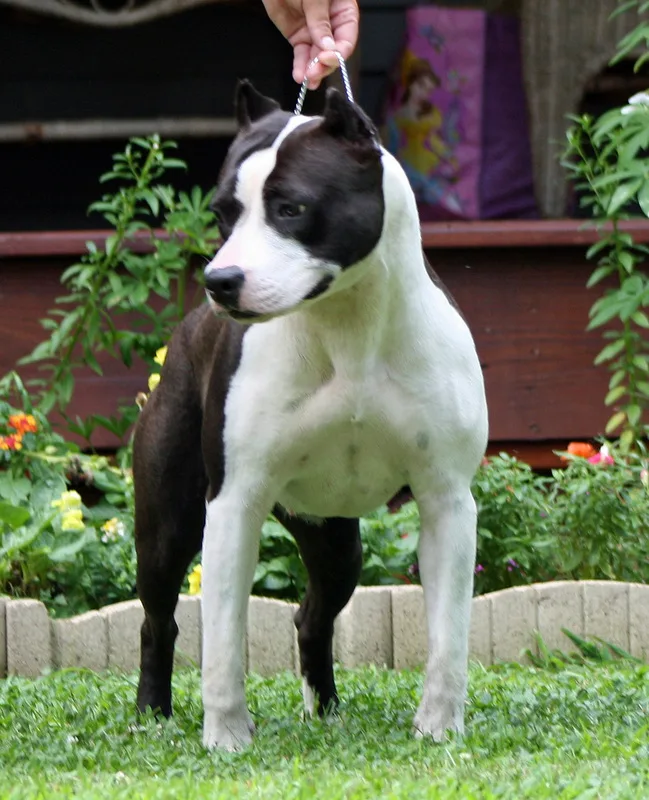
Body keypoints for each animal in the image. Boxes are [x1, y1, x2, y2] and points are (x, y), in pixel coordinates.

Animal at [133, 80, 488, 751]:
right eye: (223, 214)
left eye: (290, 209)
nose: (220, 279)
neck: (347, 325)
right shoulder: (234, 503)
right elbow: (224, 642)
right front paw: (226, 736)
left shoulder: (447, 501)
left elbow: (450, 636)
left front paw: (438, 728)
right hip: (166, 527)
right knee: (158, 621)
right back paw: (153, 713)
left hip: (336, 543)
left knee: (312, 616)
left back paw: (325, 710)